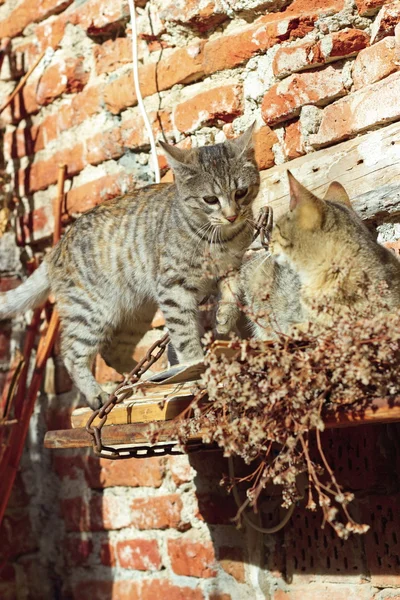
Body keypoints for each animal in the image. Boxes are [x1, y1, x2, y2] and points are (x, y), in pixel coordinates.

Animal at [0, 125, 260, 408]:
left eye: (241, 192)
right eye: (210, 199)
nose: (232, 215)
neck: (220, 238)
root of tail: (55, 249)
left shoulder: (230, 268)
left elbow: (233, 292)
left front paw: (224, 318)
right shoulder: (173, 290)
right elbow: (184, 334)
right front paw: (195, 364)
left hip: (135, 312)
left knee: (111, 351)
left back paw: (141, 381)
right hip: (92, 311)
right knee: (72, 352)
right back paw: (99, 393)